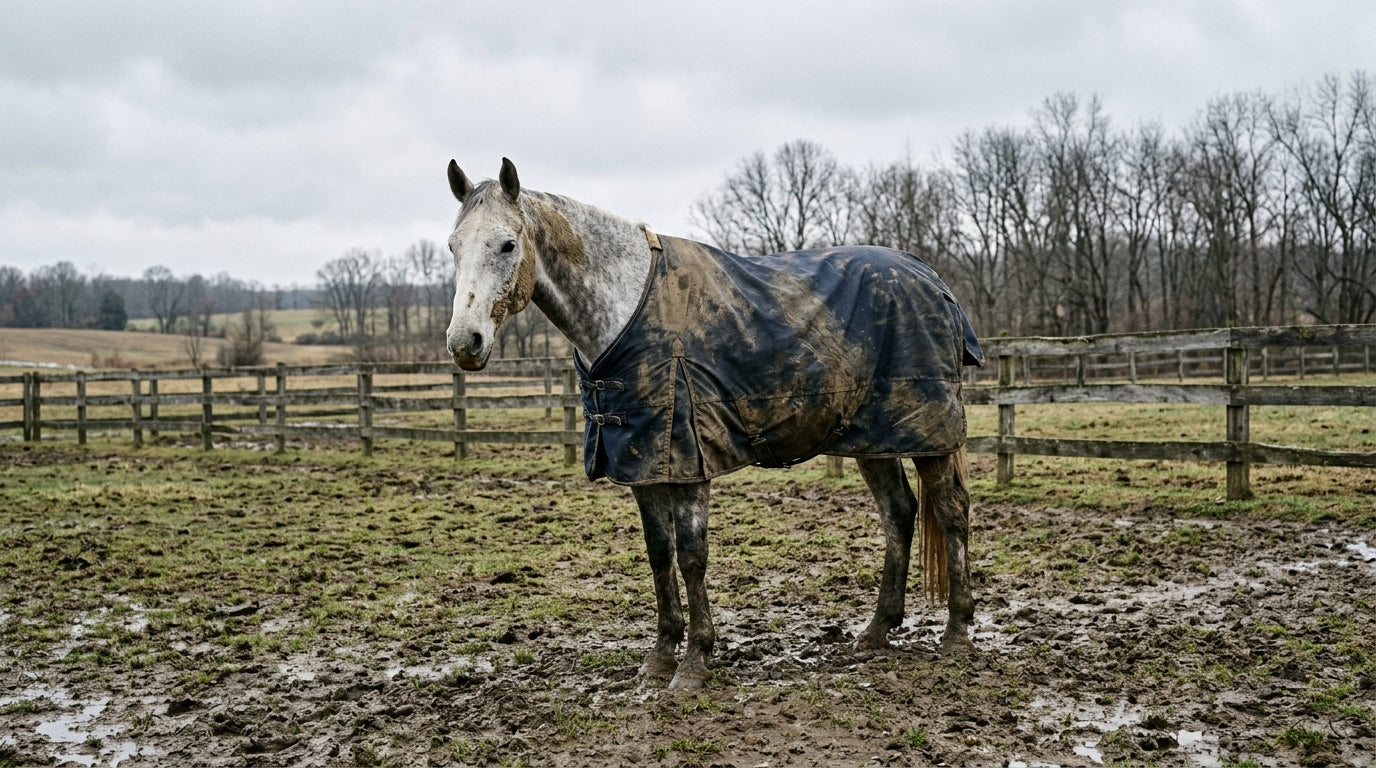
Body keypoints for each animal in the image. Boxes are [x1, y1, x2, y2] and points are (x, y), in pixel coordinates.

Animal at [444, 158, 984, 690]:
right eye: (453, 246)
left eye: (508, 244)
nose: (464, 343)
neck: (627, 309)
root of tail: (929, 277)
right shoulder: (643, 464)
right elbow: (659, 554)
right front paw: (661, 657)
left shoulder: (687, 459)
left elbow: (691, 555)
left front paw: (694, 663)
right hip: (873, 437)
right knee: (899, 513)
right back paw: (876, 632)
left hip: (930, 432)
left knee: (952, 512)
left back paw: (957, 634)